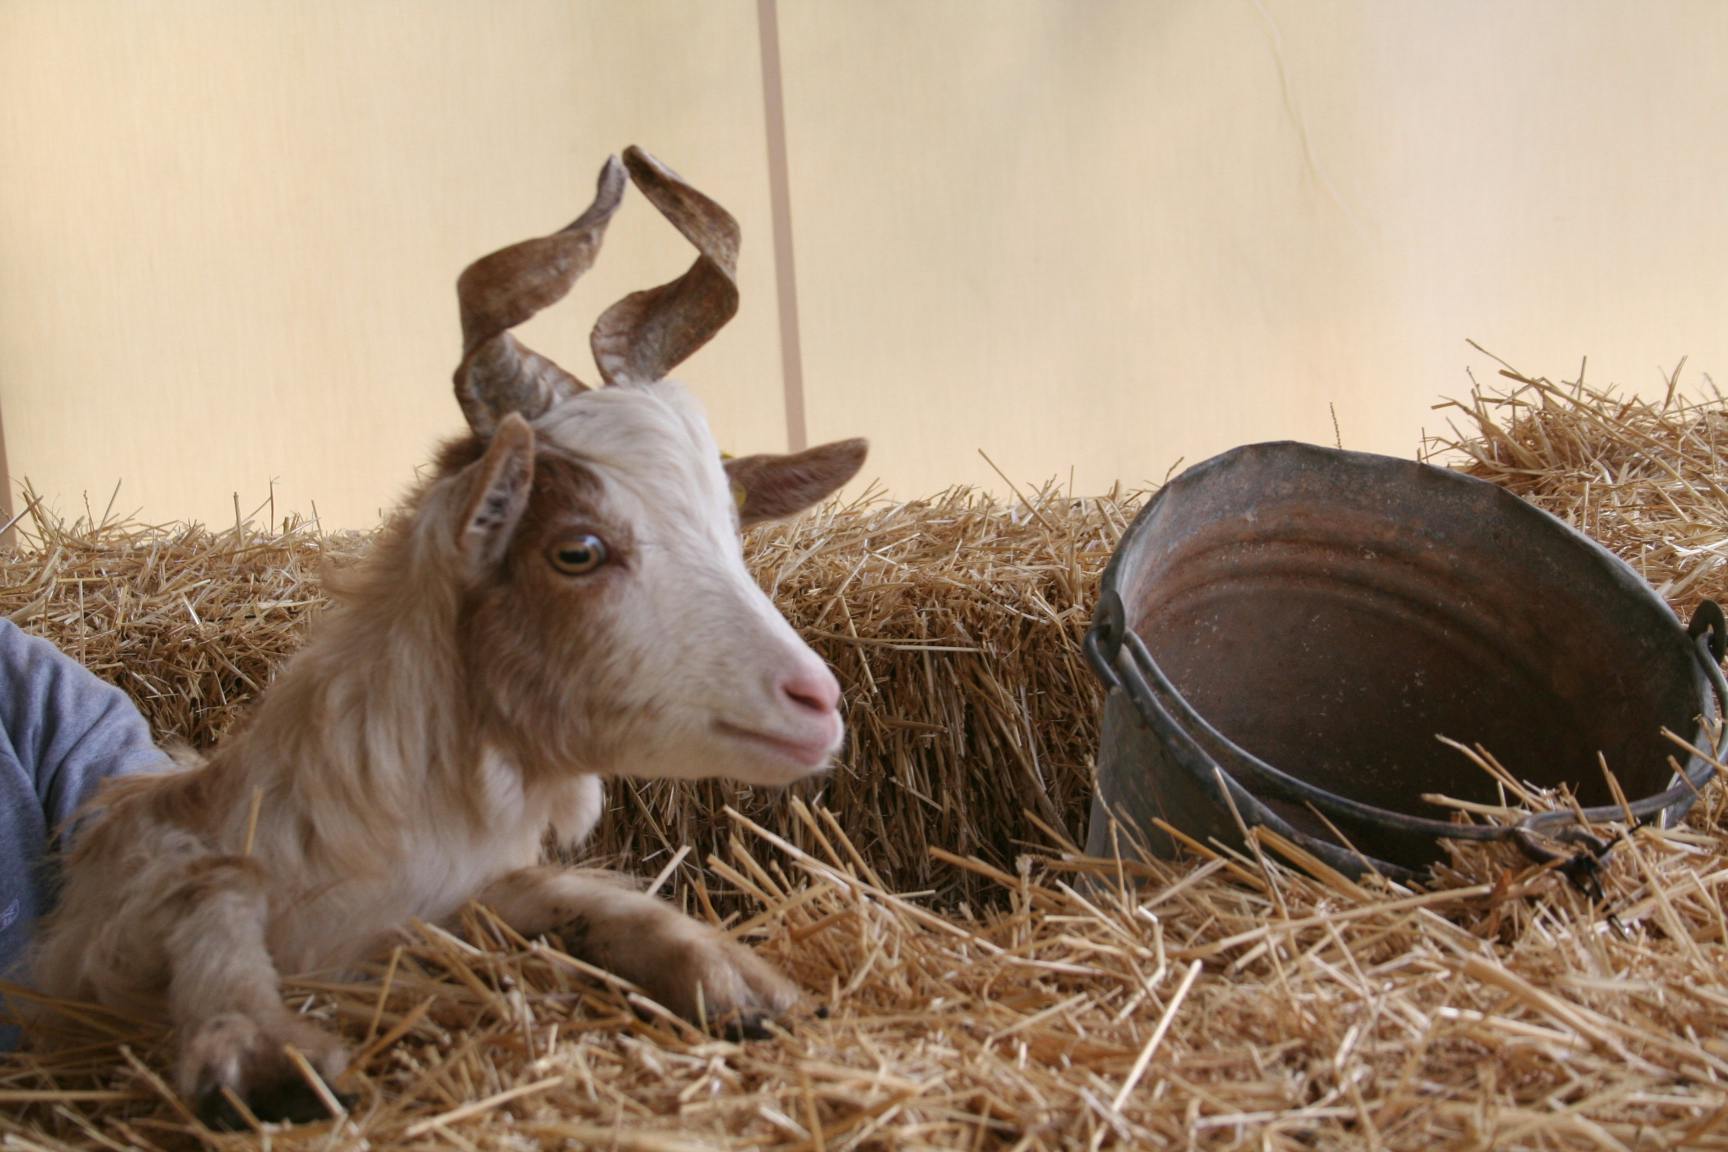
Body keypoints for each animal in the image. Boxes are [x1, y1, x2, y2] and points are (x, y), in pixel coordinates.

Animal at [27, 148, 864, 1133]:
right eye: (577, 550)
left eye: (732, 531)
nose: (817, 701)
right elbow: (210, 887)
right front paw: (261, 1054)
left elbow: (545, 891)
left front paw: (731, 977)